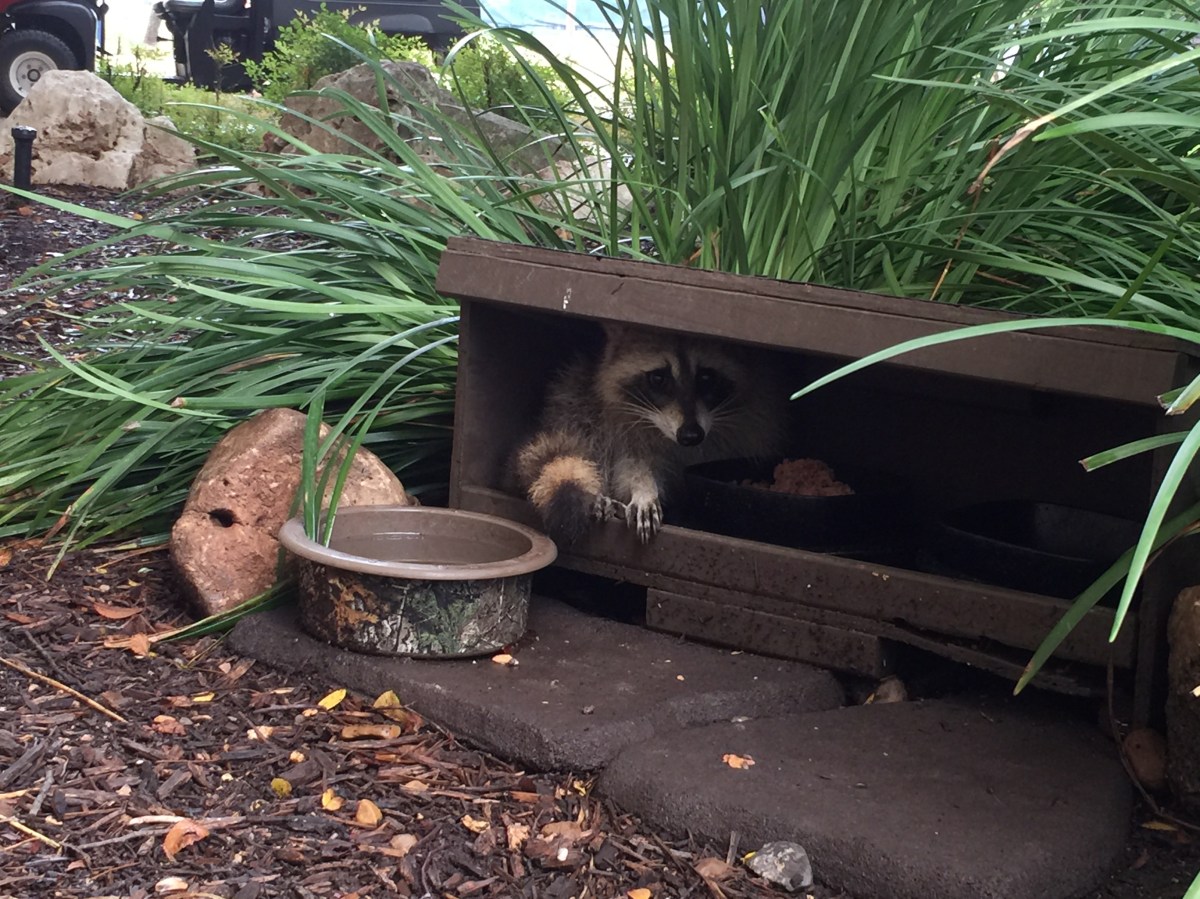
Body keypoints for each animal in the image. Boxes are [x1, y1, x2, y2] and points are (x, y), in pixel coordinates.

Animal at [511, 323, 782, 544]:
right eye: (658, 378)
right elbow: (631, 463)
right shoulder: (619, 425)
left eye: (706, 377)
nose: (690, 435)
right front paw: (643, 487)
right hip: (573, 394)